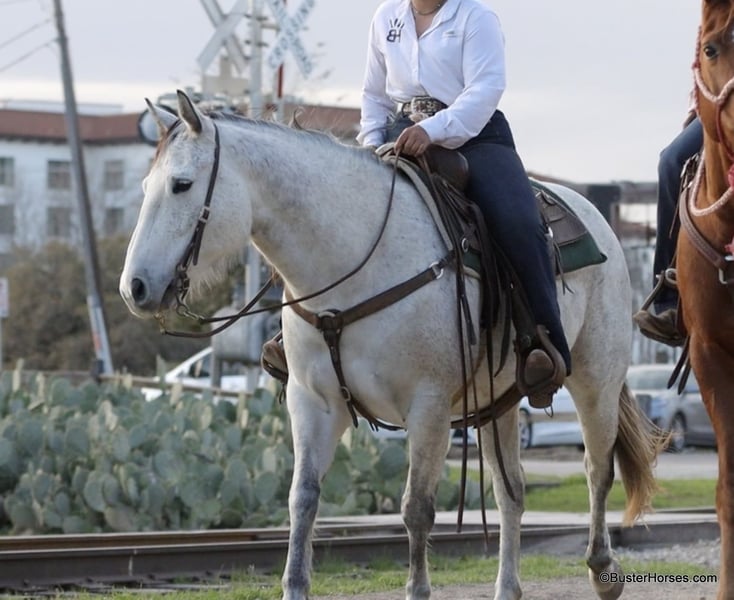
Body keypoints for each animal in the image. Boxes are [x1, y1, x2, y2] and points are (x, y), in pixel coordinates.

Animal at [119, 90, 661, 600]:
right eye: (144, 187)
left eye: (182, 184)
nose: (134, 288)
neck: (353, 264)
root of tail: (595, 215)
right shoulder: (312, 403)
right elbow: (302, 498)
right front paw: (295, 585)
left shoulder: (428, 407)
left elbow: (416, 508)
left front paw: (417, 589)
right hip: (498, 403)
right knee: (512, 491)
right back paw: (508, 587)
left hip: (596, 381)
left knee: (596, 469)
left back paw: (603, 570)